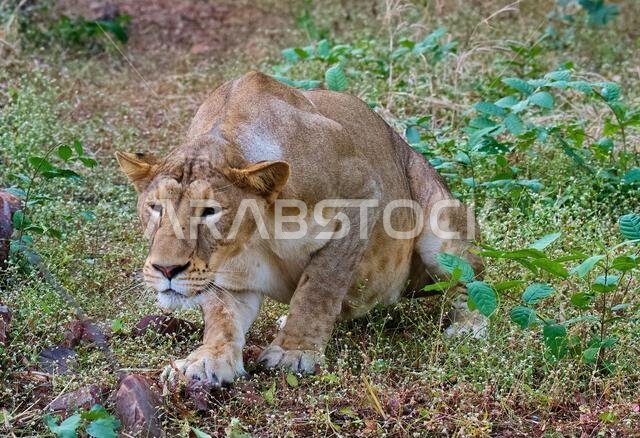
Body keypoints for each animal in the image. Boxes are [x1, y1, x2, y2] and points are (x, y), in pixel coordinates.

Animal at [115, 71, 486, 386]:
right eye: (156, 208)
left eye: (210, 212)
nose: (166, 269)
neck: (256, 230)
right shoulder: (227, 273)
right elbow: (221, 317)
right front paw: (204, 361)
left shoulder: (362, 195)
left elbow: (318, 287)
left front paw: (293, 353)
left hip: (439, 223)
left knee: (471, 278)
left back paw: (469, 326)